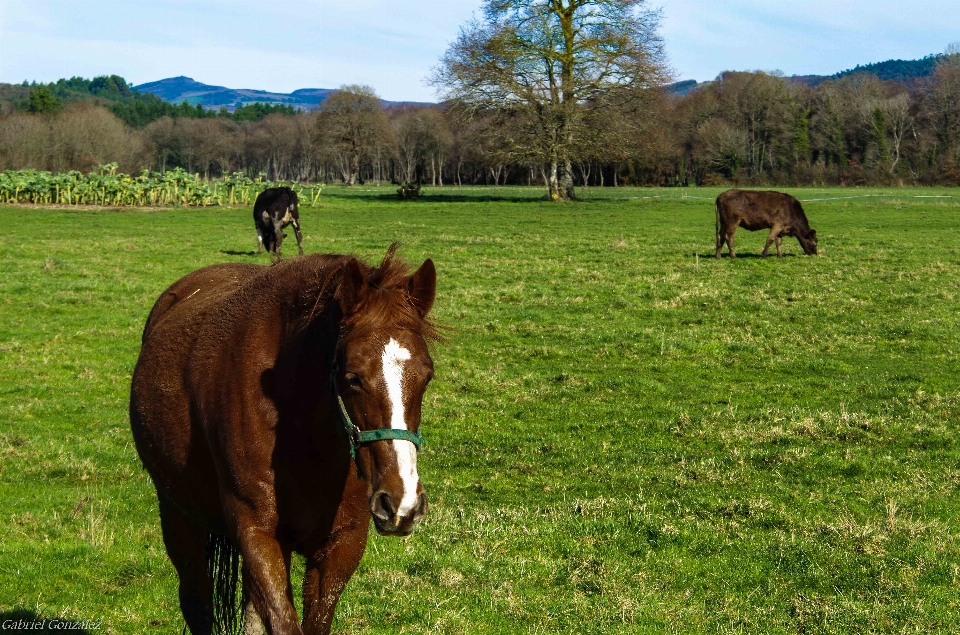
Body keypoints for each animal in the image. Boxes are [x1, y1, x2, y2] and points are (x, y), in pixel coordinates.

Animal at [129, 246, 440, 632]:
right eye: (353, 377)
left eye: (427, 376)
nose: (401, 503)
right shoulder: (259, 535)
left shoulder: (341, 544)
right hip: (178, 515)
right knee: (196, 601)